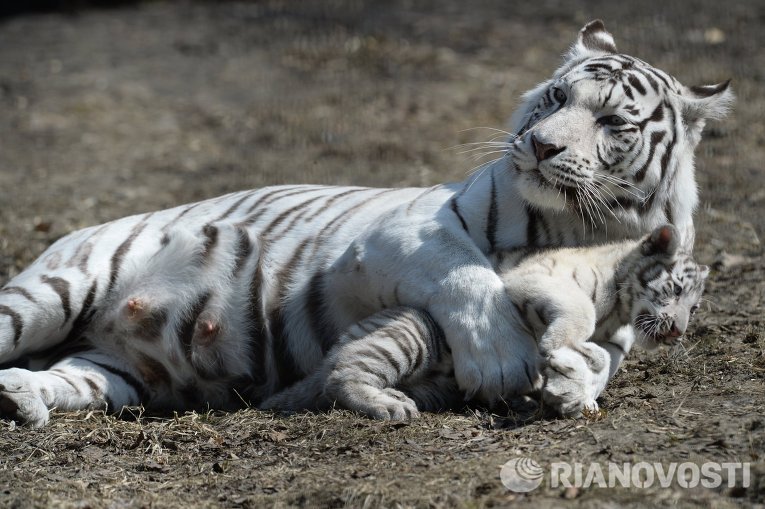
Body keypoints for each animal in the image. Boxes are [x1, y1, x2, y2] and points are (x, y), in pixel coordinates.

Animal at [262, 222, 712, 416]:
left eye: (694, 308)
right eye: (674, 291)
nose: (678, 331)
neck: (617, 307)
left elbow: (596, 359)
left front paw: (574, 382)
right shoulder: (535, 278)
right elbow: (577, 318)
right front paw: (561, 352)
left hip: (438, 380)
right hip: (412, 331)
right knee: (343, 371)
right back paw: (388, 406)